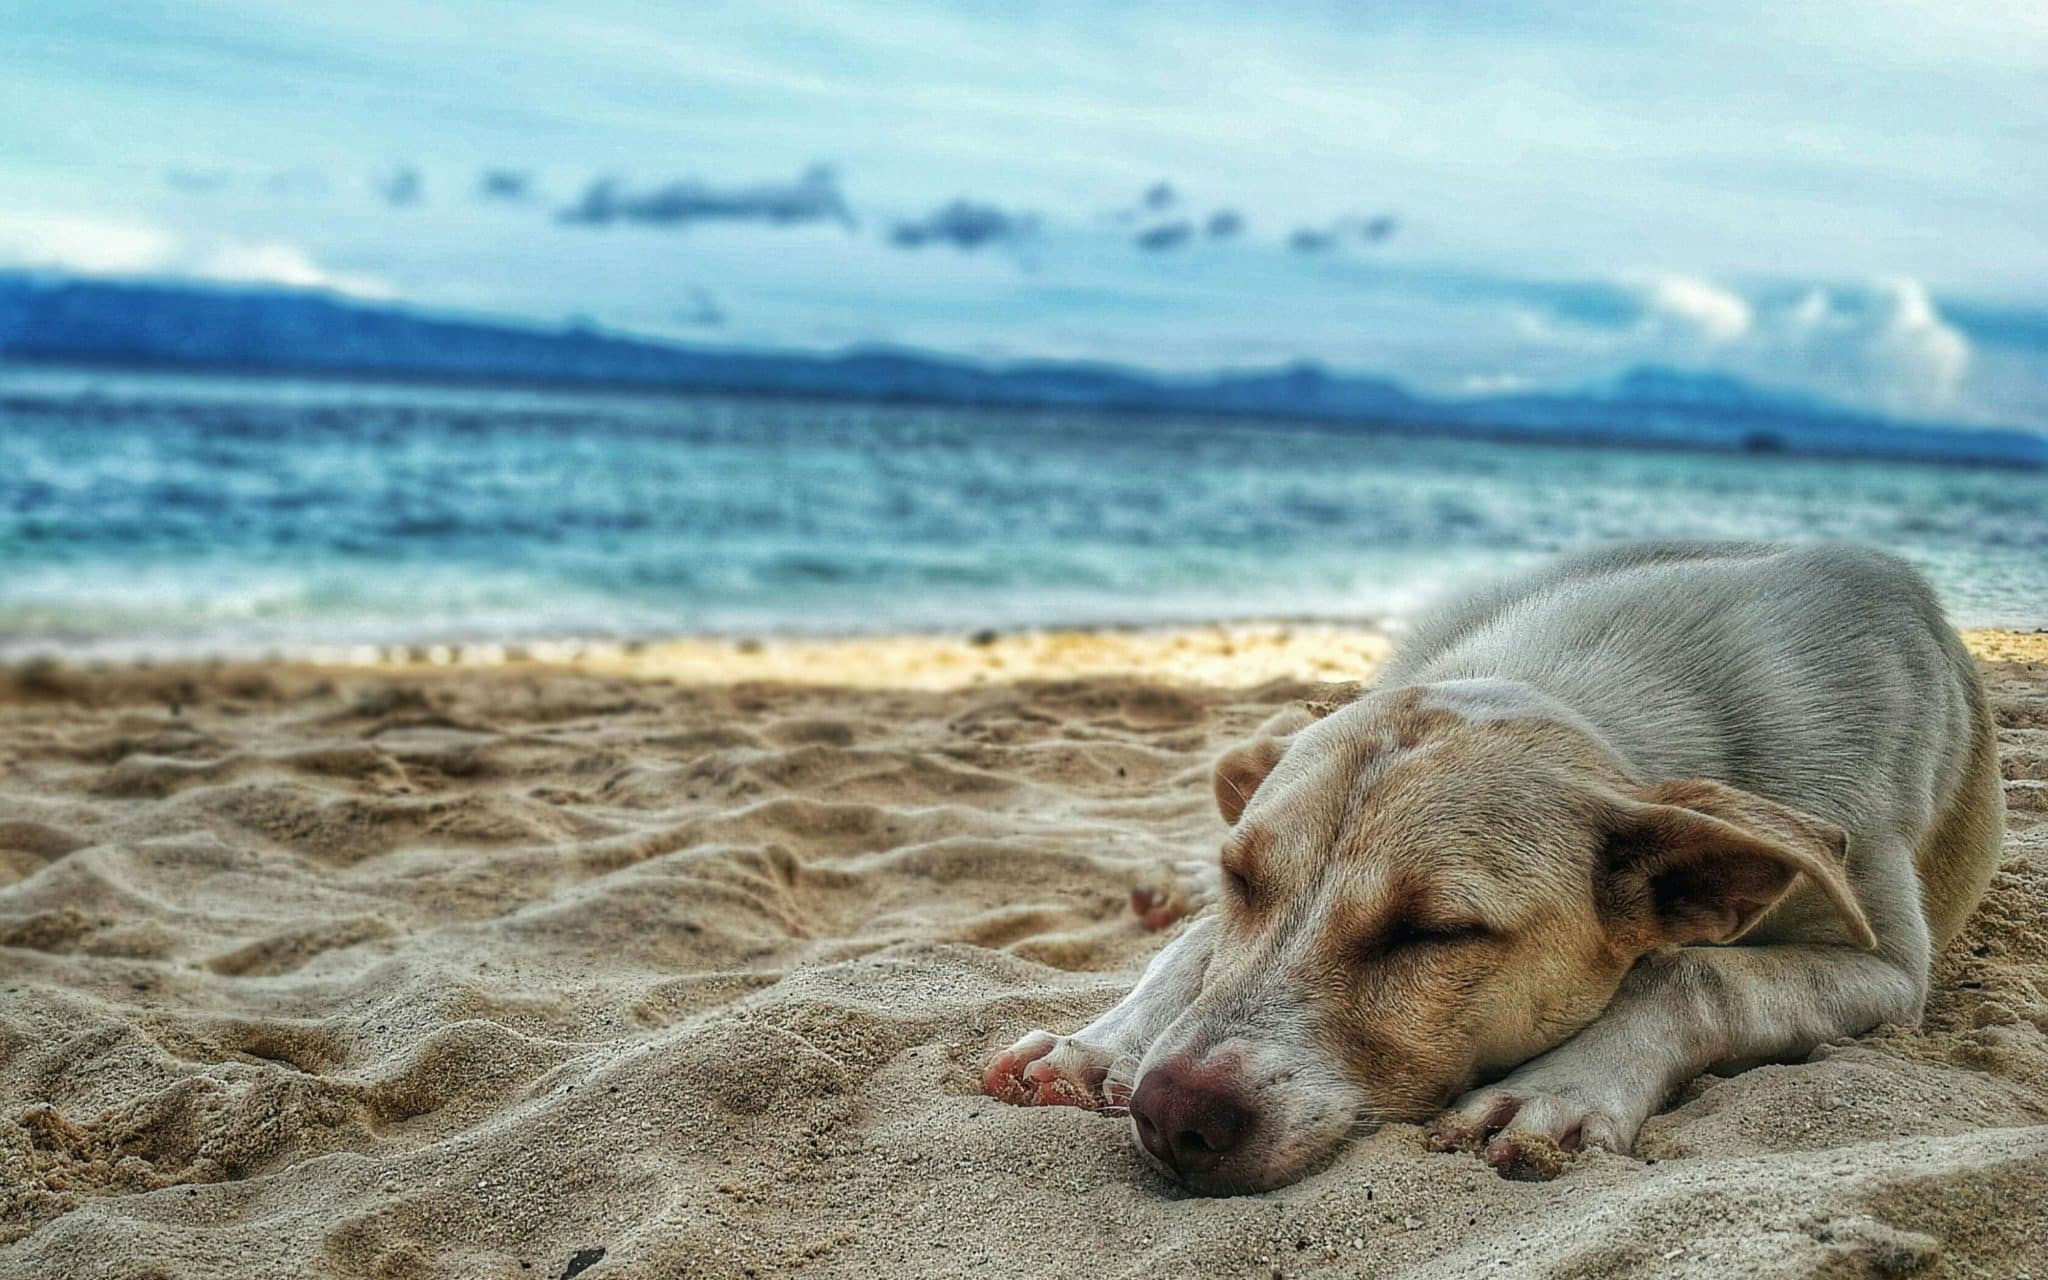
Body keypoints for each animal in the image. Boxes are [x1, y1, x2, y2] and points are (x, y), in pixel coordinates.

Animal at [983, 540, 2007, 1187]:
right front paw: (1105, 1041)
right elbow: (1200, 949)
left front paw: (1560, 1087)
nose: (1170, 1115)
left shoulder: (1889, 968)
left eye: (1435, 932)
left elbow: (1693, 970)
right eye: (1243, 880)